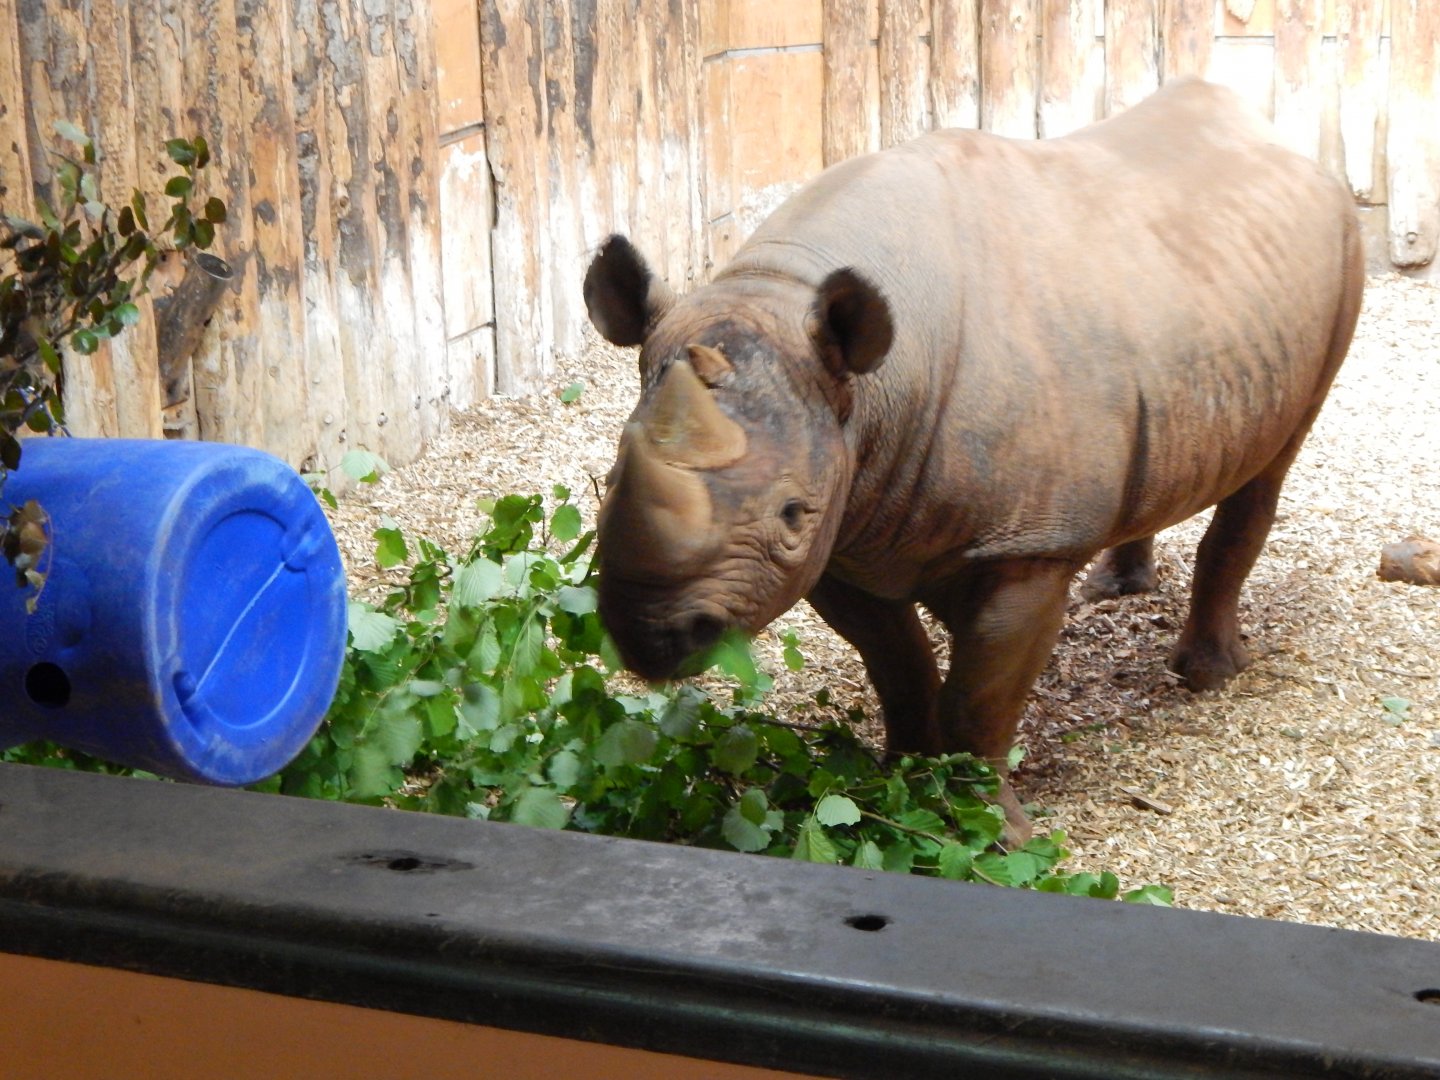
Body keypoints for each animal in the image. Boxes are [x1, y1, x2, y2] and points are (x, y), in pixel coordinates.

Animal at [583, 78, 1363, 829]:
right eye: (612, 480)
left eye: (792, 513)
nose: (651, 635)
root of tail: (1267, 129)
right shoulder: (846, 529)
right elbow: (899, 669)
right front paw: (893, 782)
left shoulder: (1028, 545)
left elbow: (979, 701)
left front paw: (984, 828)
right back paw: (1116, 589)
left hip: (1342, 242)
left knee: (1274, 460)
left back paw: (1209, 676)